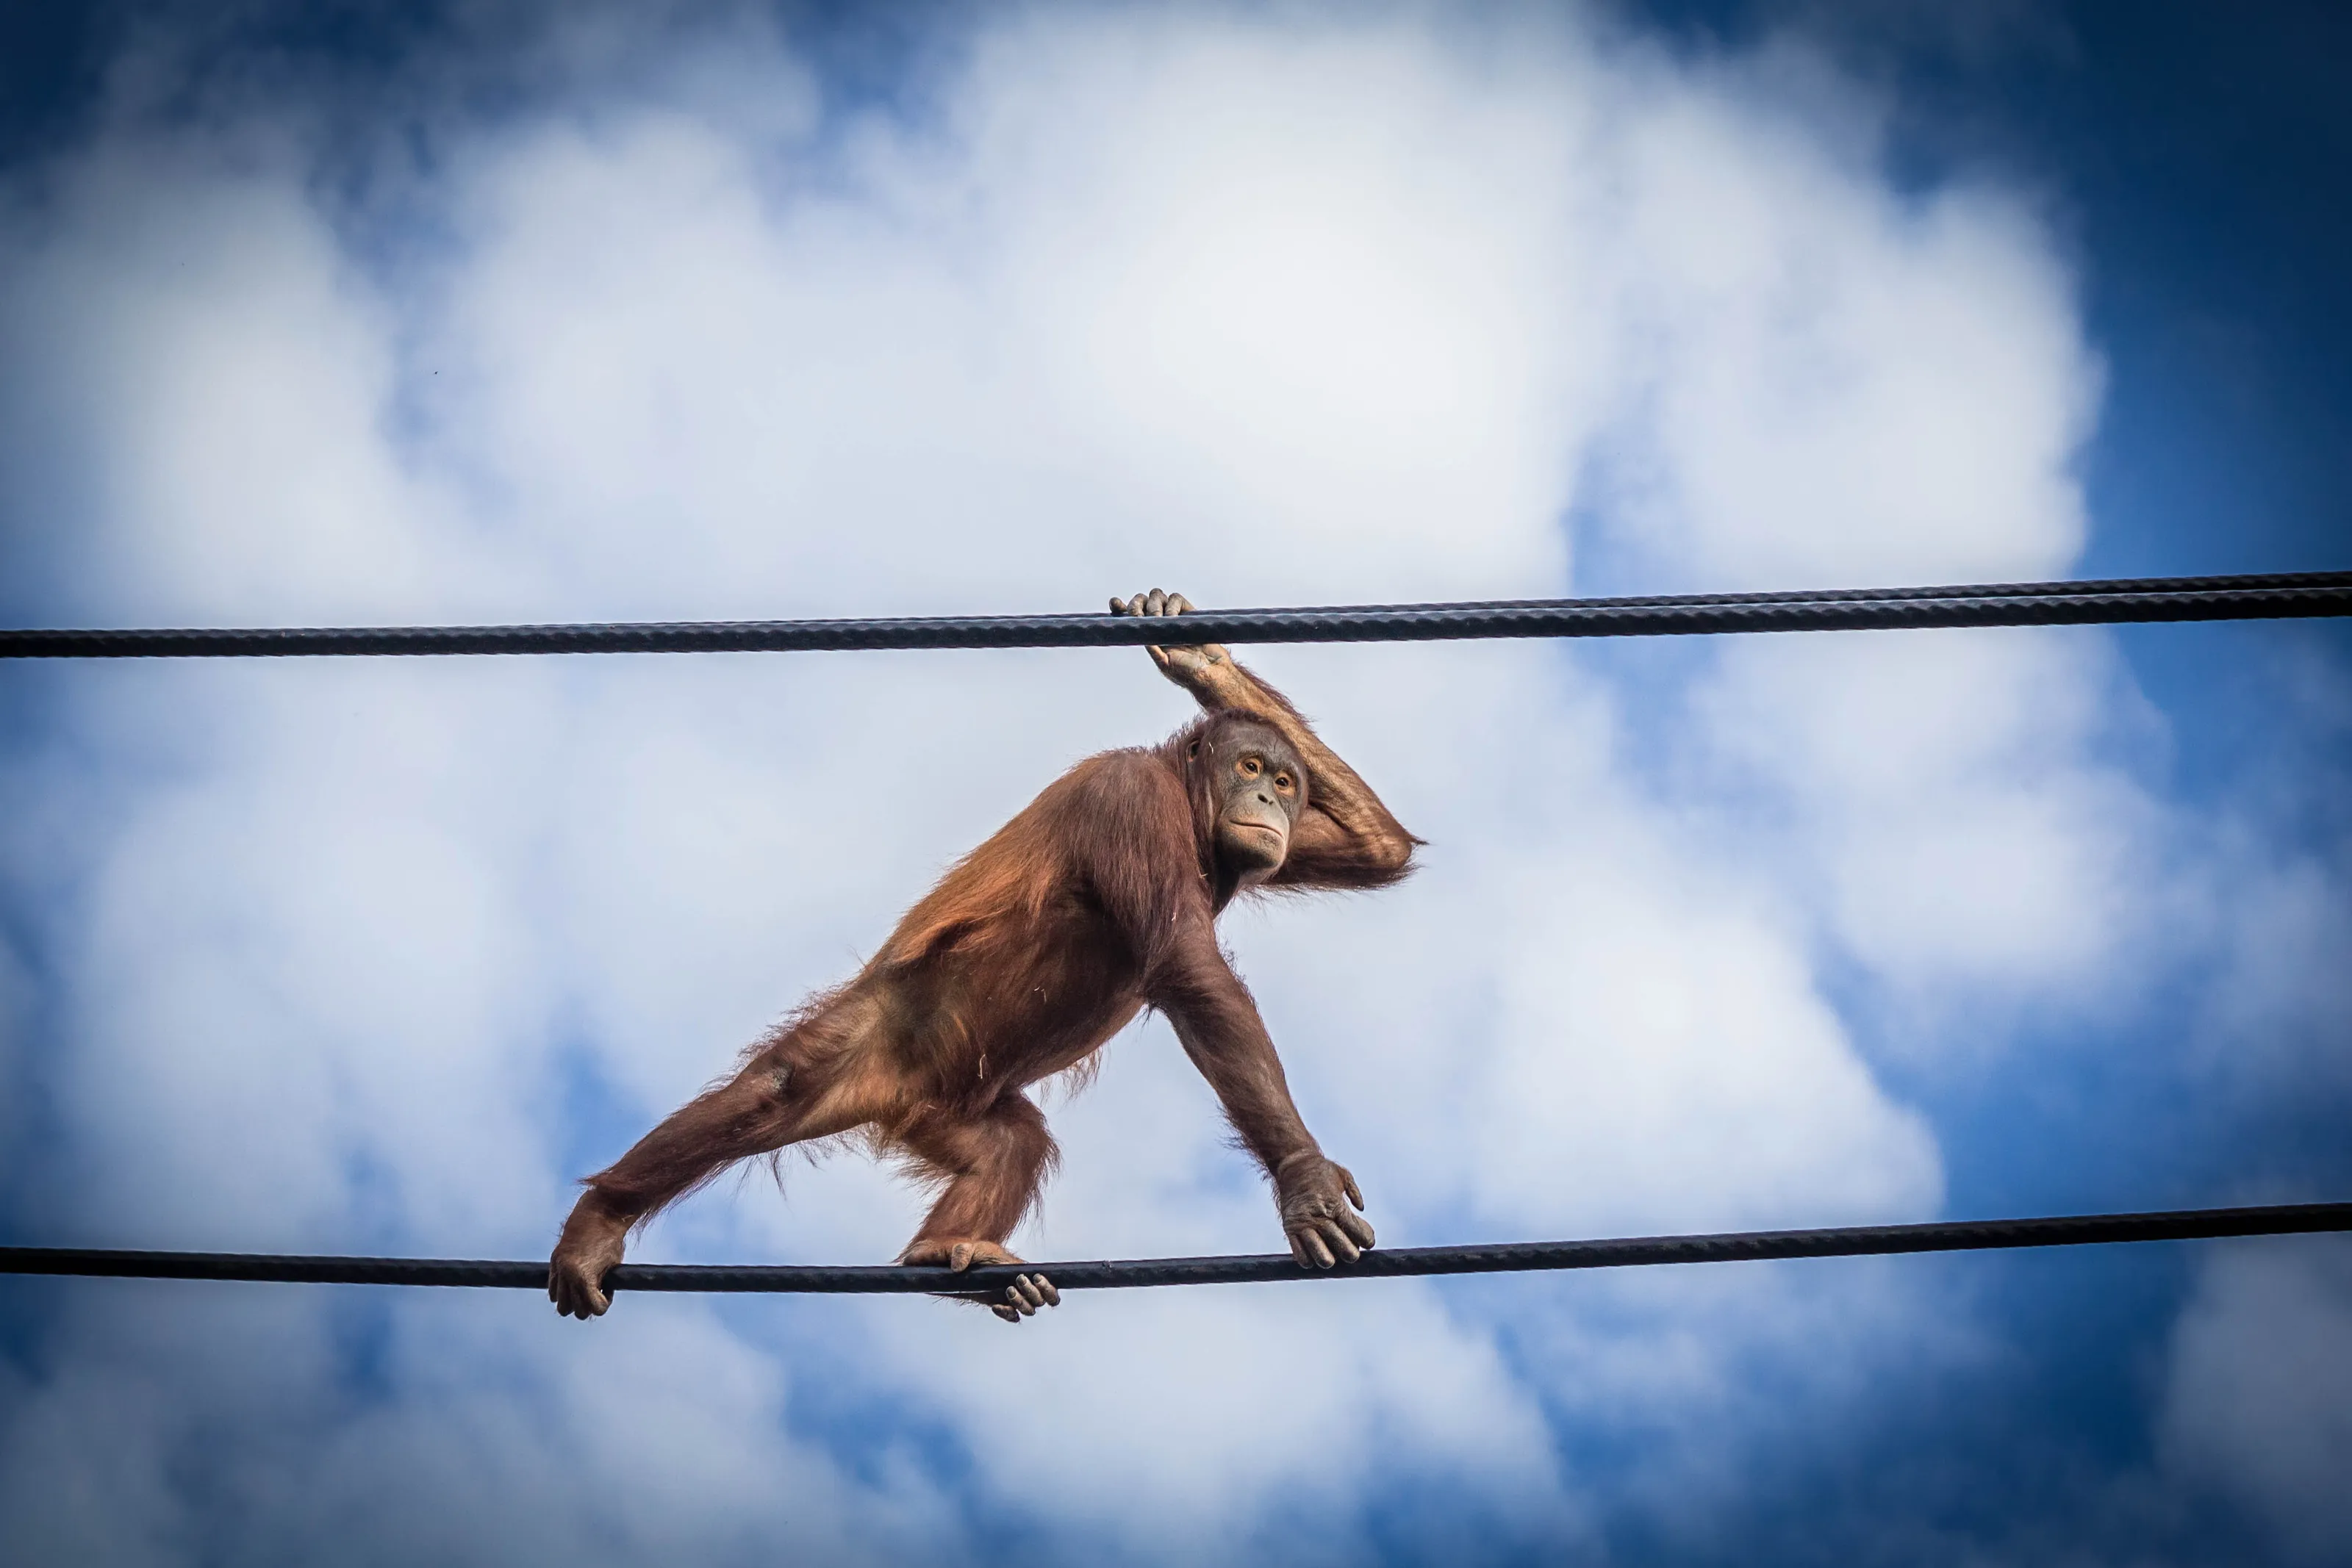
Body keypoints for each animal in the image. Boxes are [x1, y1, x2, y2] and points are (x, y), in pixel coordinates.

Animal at [549, 590, 1418, 1323]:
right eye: (1249, 768)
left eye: (1287, 782)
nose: (1269, 800)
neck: (1186, 798)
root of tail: (890, 1098)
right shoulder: (1128, 798)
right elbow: (1191, 975)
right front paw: (1305, 1182)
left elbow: (1375, 850)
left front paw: (1203, 659)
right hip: (867, 1037)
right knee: (775, 1087)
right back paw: (600, 1219)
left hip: (950, 1112)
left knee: (1013, 1144)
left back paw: (948, 1253)